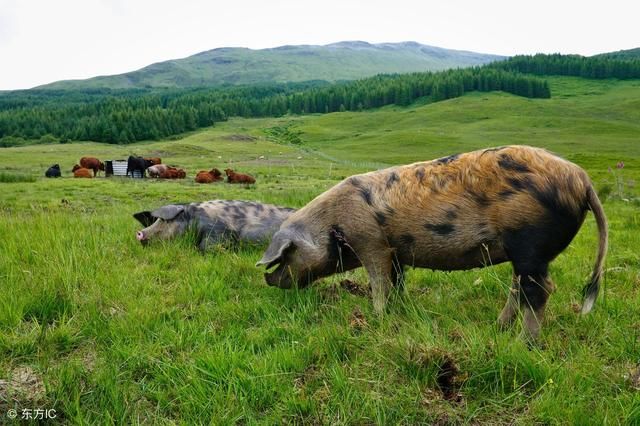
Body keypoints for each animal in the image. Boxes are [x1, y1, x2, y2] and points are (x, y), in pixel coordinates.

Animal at [258, 145, 608, 342]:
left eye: (285, 255)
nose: (268, 279)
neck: (332, 225)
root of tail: (582, 180)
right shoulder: (396, 252)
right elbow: (396, 281)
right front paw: (398, 310)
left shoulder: (371, 241)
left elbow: (378, 281)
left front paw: (377, 318)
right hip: (522, 253)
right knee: (519, 287)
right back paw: (499, 328)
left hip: (529, 242)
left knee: (541, 289)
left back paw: (524, 342)